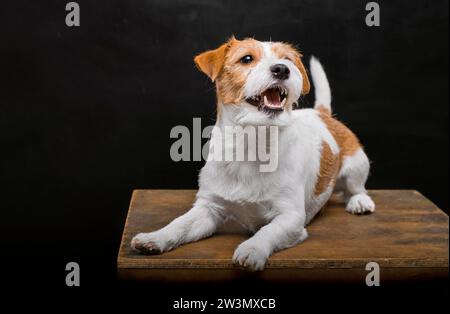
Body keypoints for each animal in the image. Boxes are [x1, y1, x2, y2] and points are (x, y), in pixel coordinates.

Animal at [131, 36, 376, 272]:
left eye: (287, 59)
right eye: (247, 59)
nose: (282, 69)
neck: (251, 144)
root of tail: (322, 114)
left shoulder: (290, 217)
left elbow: (267, 231)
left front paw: (252, 249)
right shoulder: (208, 208)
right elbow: (179, 224)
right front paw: (155, 237)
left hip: (356, 165)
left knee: (356, 188)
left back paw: (359, 201)